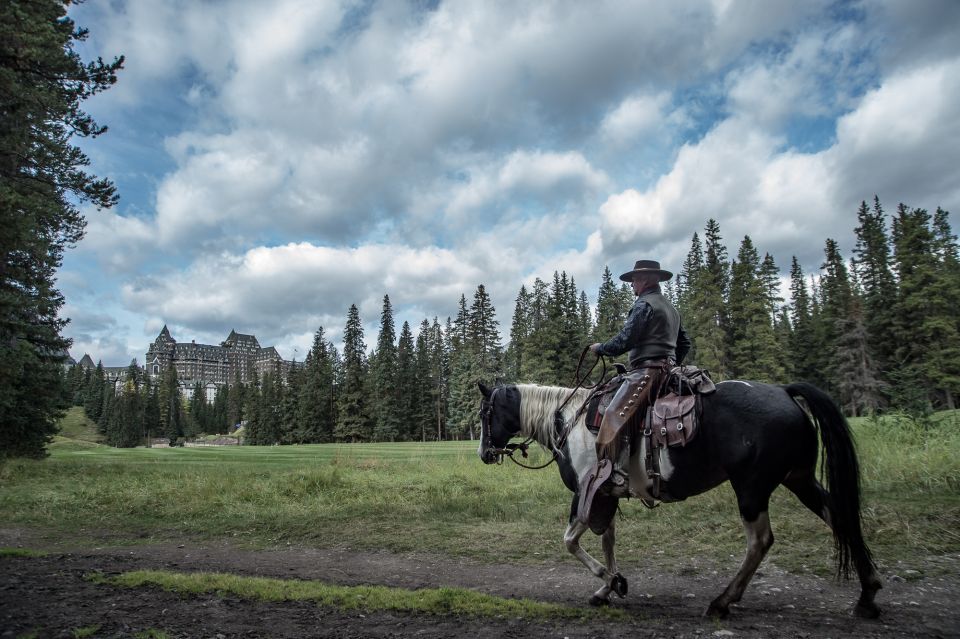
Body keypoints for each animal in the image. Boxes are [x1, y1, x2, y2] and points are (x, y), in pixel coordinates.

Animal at [476, 380, 880, 620]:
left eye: (484, 413)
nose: (484, 453)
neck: (569, 422)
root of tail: (784, 391)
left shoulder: (586, 494)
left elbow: (571, 542)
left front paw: (613, 582)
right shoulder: (607, 495)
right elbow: (607, 542)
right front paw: (607, 587)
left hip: (751, 488)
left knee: (760, 541)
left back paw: (722, 601)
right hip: (799, 479)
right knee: (840, 516)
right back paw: (868, 594)